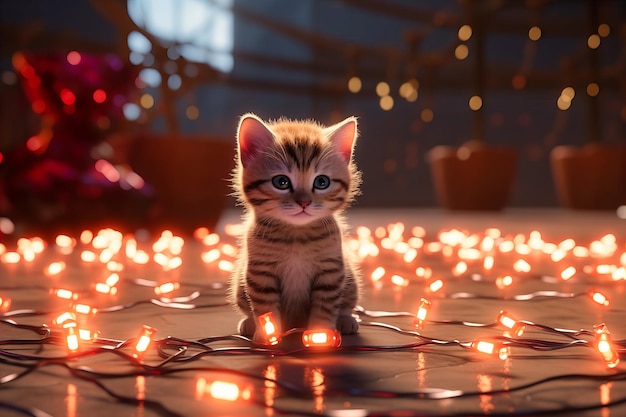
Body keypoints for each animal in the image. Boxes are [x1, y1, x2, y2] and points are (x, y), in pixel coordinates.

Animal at [229, 112, 360, 342]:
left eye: (322, 182)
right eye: (281, 182)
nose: (304, 202)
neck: (296, 236)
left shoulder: (331, 270)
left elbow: (325, 306)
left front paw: (320, 335)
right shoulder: (260, 272)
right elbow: (265, 307)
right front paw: (267, 335)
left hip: (350, 279)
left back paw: (346, 320)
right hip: (239, 284)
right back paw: (249, 323)